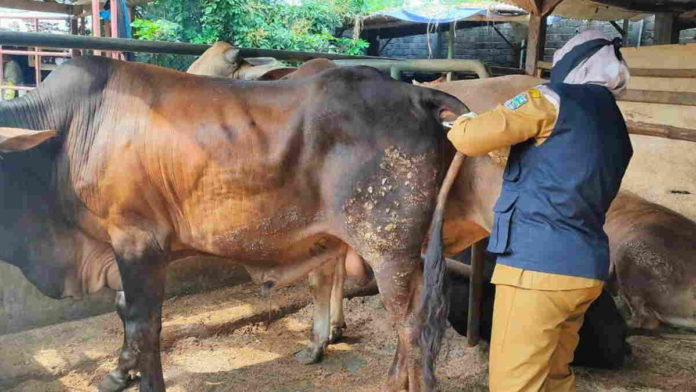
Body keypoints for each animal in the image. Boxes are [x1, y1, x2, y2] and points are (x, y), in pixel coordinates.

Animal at [2, 56, 468, 392]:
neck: (68, 131)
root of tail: (417, 94)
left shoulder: (139, 239)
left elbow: (143, 324)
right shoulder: (120, 246)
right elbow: (125, 313)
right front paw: (119, 374)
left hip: (388, 246)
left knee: (411, 326)